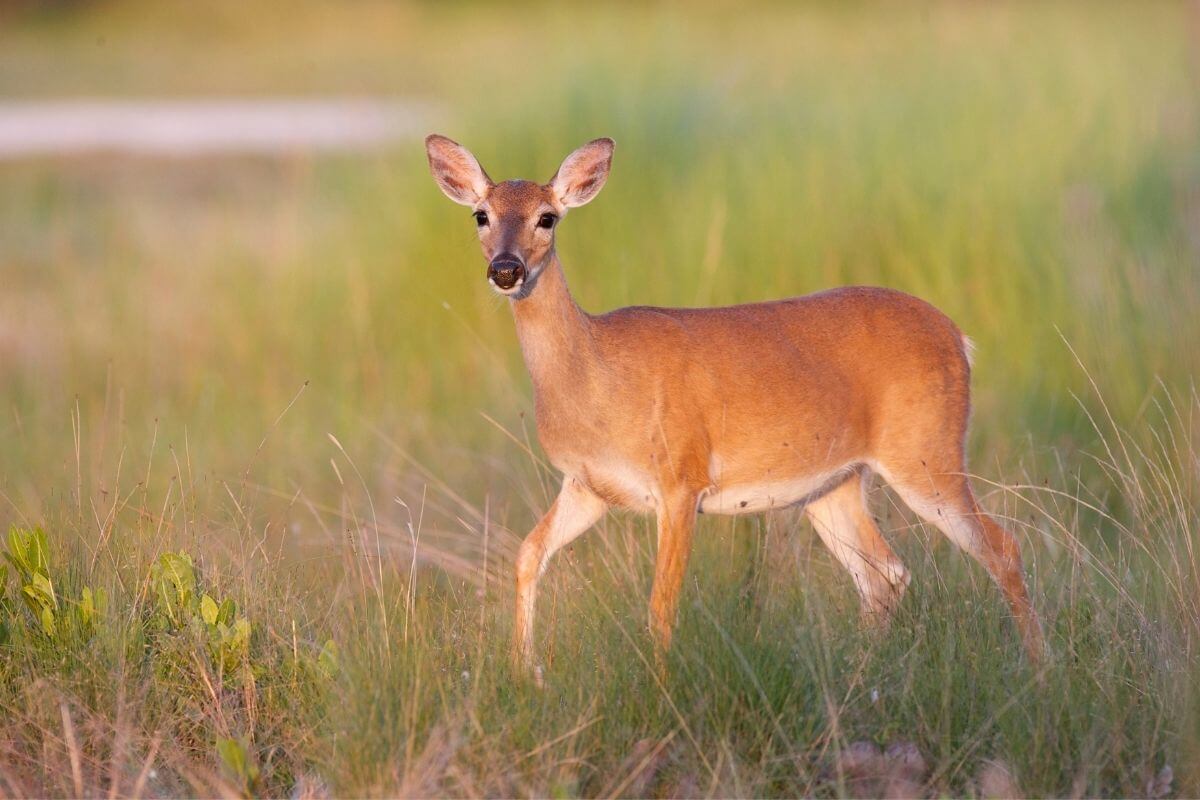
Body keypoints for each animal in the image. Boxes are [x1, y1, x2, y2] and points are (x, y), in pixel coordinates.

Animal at [423, 134, 1046, 674]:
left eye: (547, 217)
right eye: (480, 214)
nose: (506, 270)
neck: (595, 376)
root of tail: (960, 338)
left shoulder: (682, 477)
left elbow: (661, 606)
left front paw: (660, 690)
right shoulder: (588, 485)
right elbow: (527, 555)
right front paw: (523, 672)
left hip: (925, 449)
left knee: (1003, 547)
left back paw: (1039, 672)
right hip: (833, 483)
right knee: (885, 573)